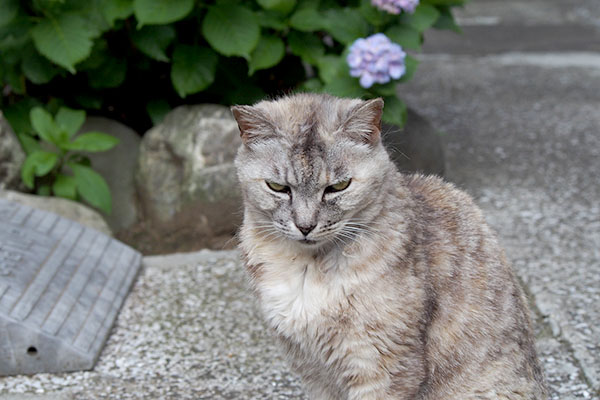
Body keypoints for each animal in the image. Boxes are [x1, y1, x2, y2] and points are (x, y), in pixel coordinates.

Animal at [231, 94, 548, 400]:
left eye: (339, 186)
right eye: (277, 187)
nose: (305, 226)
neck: (308, 269)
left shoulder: (382, 365)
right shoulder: (312, 370)